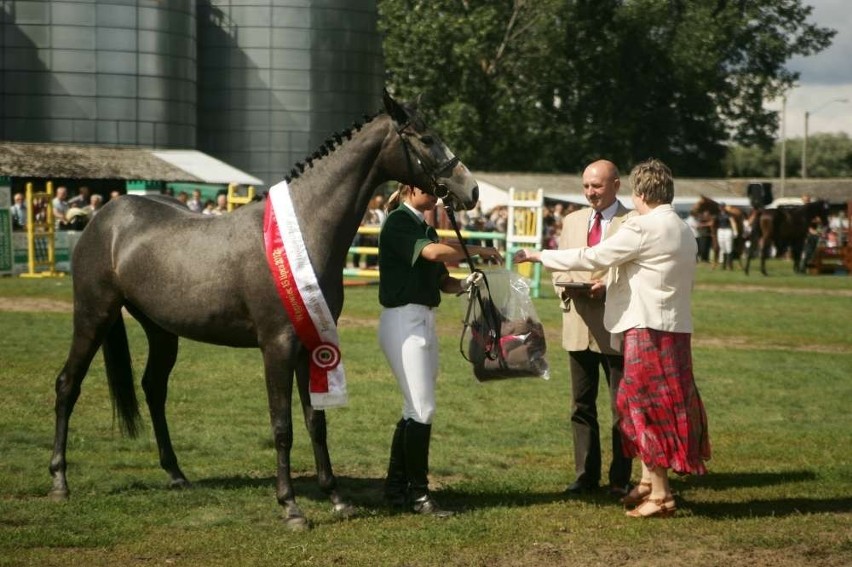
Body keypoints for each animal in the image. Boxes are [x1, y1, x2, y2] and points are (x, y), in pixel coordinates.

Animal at [50, 91, 482, 532]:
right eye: (426, 138)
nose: (472, 190)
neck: (307, 228)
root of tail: (103, 218)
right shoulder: (277, 346)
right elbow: (282, 426)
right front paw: (291, 507)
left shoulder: (313, 343)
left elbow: (316, 422)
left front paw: (336, 498)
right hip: (94, 316)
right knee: (68, 384)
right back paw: (60, 481)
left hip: (160, 329)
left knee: (153, 388)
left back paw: (176, 474)